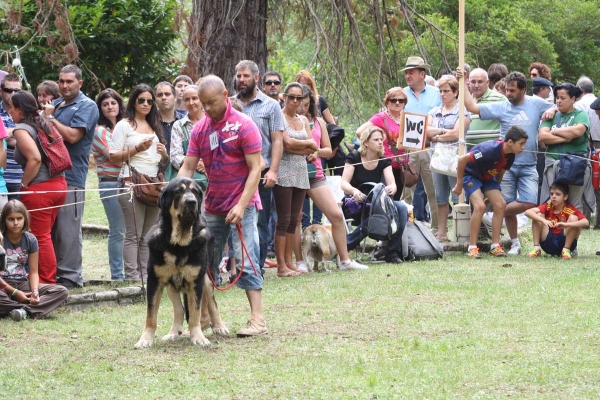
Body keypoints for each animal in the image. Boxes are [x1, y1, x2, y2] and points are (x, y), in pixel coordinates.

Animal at [135, 177, 229, 348]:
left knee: (212, 303)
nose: (192, 202)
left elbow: (195, 313)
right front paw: (146, 339)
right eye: (178, 191)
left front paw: (197, 337)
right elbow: (151, 314)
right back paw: (174, 333)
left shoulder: (196, 281)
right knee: (179, 309)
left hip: (208, 277)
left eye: (194, 191)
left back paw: (219, 326)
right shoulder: (154, 280)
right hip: (171, 285)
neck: (179, 243)